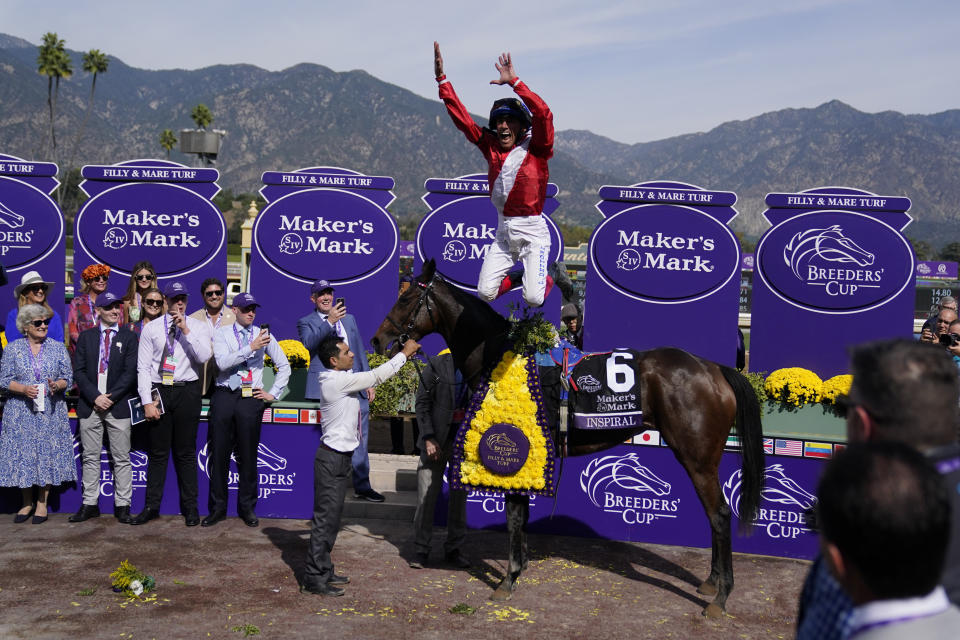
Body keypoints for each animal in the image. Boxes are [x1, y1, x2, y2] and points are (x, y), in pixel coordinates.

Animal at [372, 258, 760, 616]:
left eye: (405, 298)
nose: (378, 338)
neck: (499, 354)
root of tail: (713, 369)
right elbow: (521, 515)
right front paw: (520, 567)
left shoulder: (517, 448)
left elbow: (515, 516)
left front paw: (509, 579)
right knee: (714, 515)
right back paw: (710, 583)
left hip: (698, 458)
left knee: (720, 514)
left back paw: (720, 597)